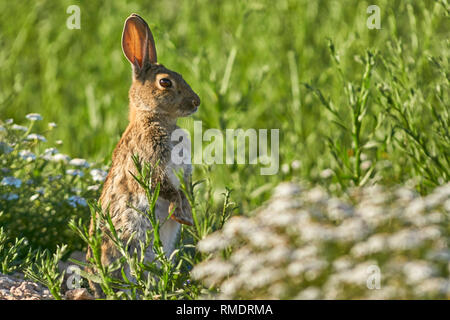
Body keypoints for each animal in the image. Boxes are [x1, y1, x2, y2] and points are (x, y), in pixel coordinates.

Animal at [87, 13, 200, 298]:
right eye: (165, 82)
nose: (197, 102)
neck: (155, 117)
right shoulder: (152, 165)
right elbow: (169, 189)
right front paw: (180, 214)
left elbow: (184, 188)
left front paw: (188, 213)